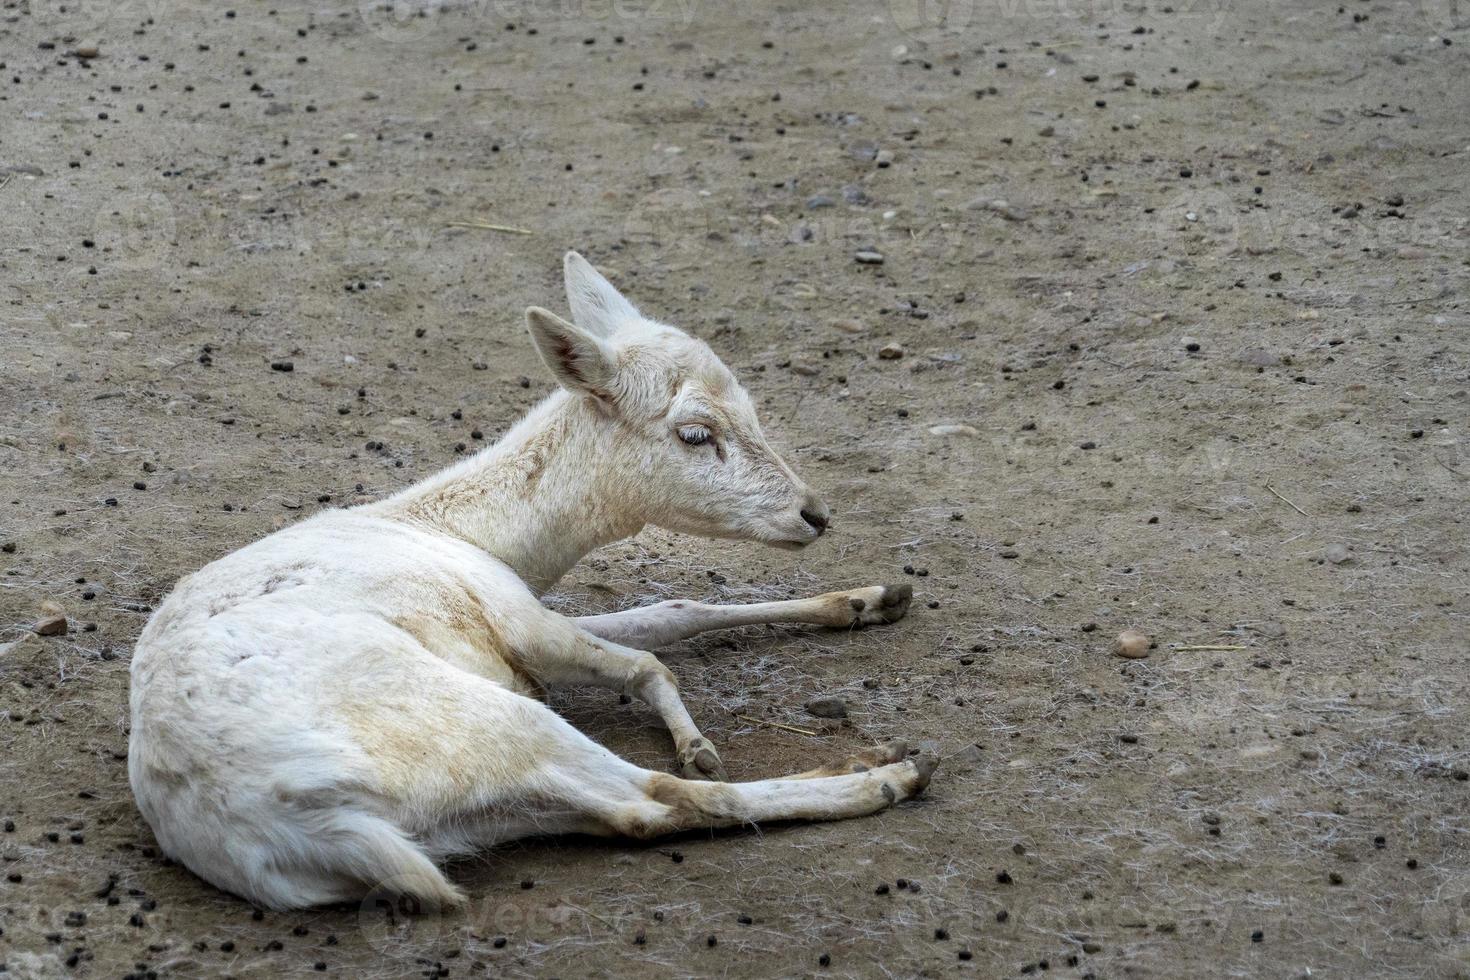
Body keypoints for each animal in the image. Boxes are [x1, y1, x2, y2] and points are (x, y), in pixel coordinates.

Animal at [126, 255, 929, 910]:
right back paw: (881, 775)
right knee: (665, 796)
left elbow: (671, 608)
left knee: (629, 814)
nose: (815, 514)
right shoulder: (516, 618)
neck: (474, 535)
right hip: (486, 721)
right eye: (696, 433)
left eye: (755, 409)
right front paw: (695, 739)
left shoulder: (527, 611)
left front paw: (873, 598)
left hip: (476, 815)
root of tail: (277, 822)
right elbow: (646, 661)